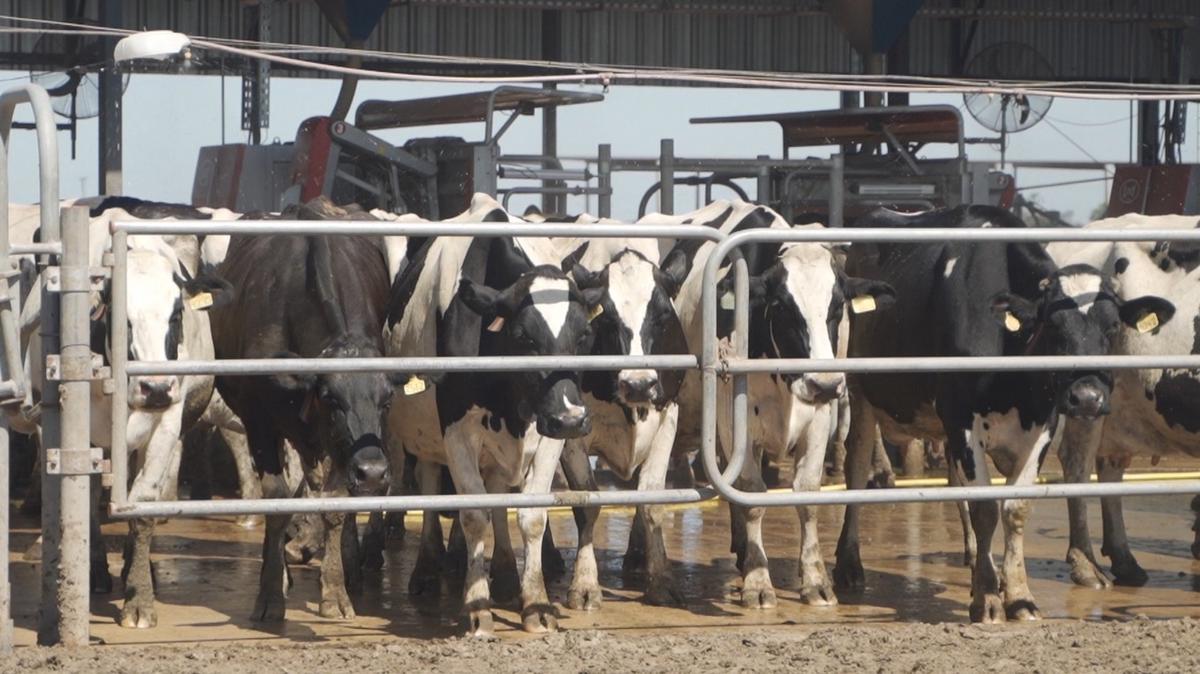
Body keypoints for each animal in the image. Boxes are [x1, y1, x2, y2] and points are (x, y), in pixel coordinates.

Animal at [835, 205, 1171, 618]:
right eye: (1053, 326)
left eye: (1111, 328)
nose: (1087, 397)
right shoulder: (961, 416)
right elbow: (986, 509)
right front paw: (987, 598)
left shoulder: (1042, 421)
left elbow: (1015, 508)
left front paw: (1018, 594)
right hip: (861, 391)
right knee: (855, 466)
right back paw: (849, 565)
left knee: (956, 483)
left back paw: (973, 557)